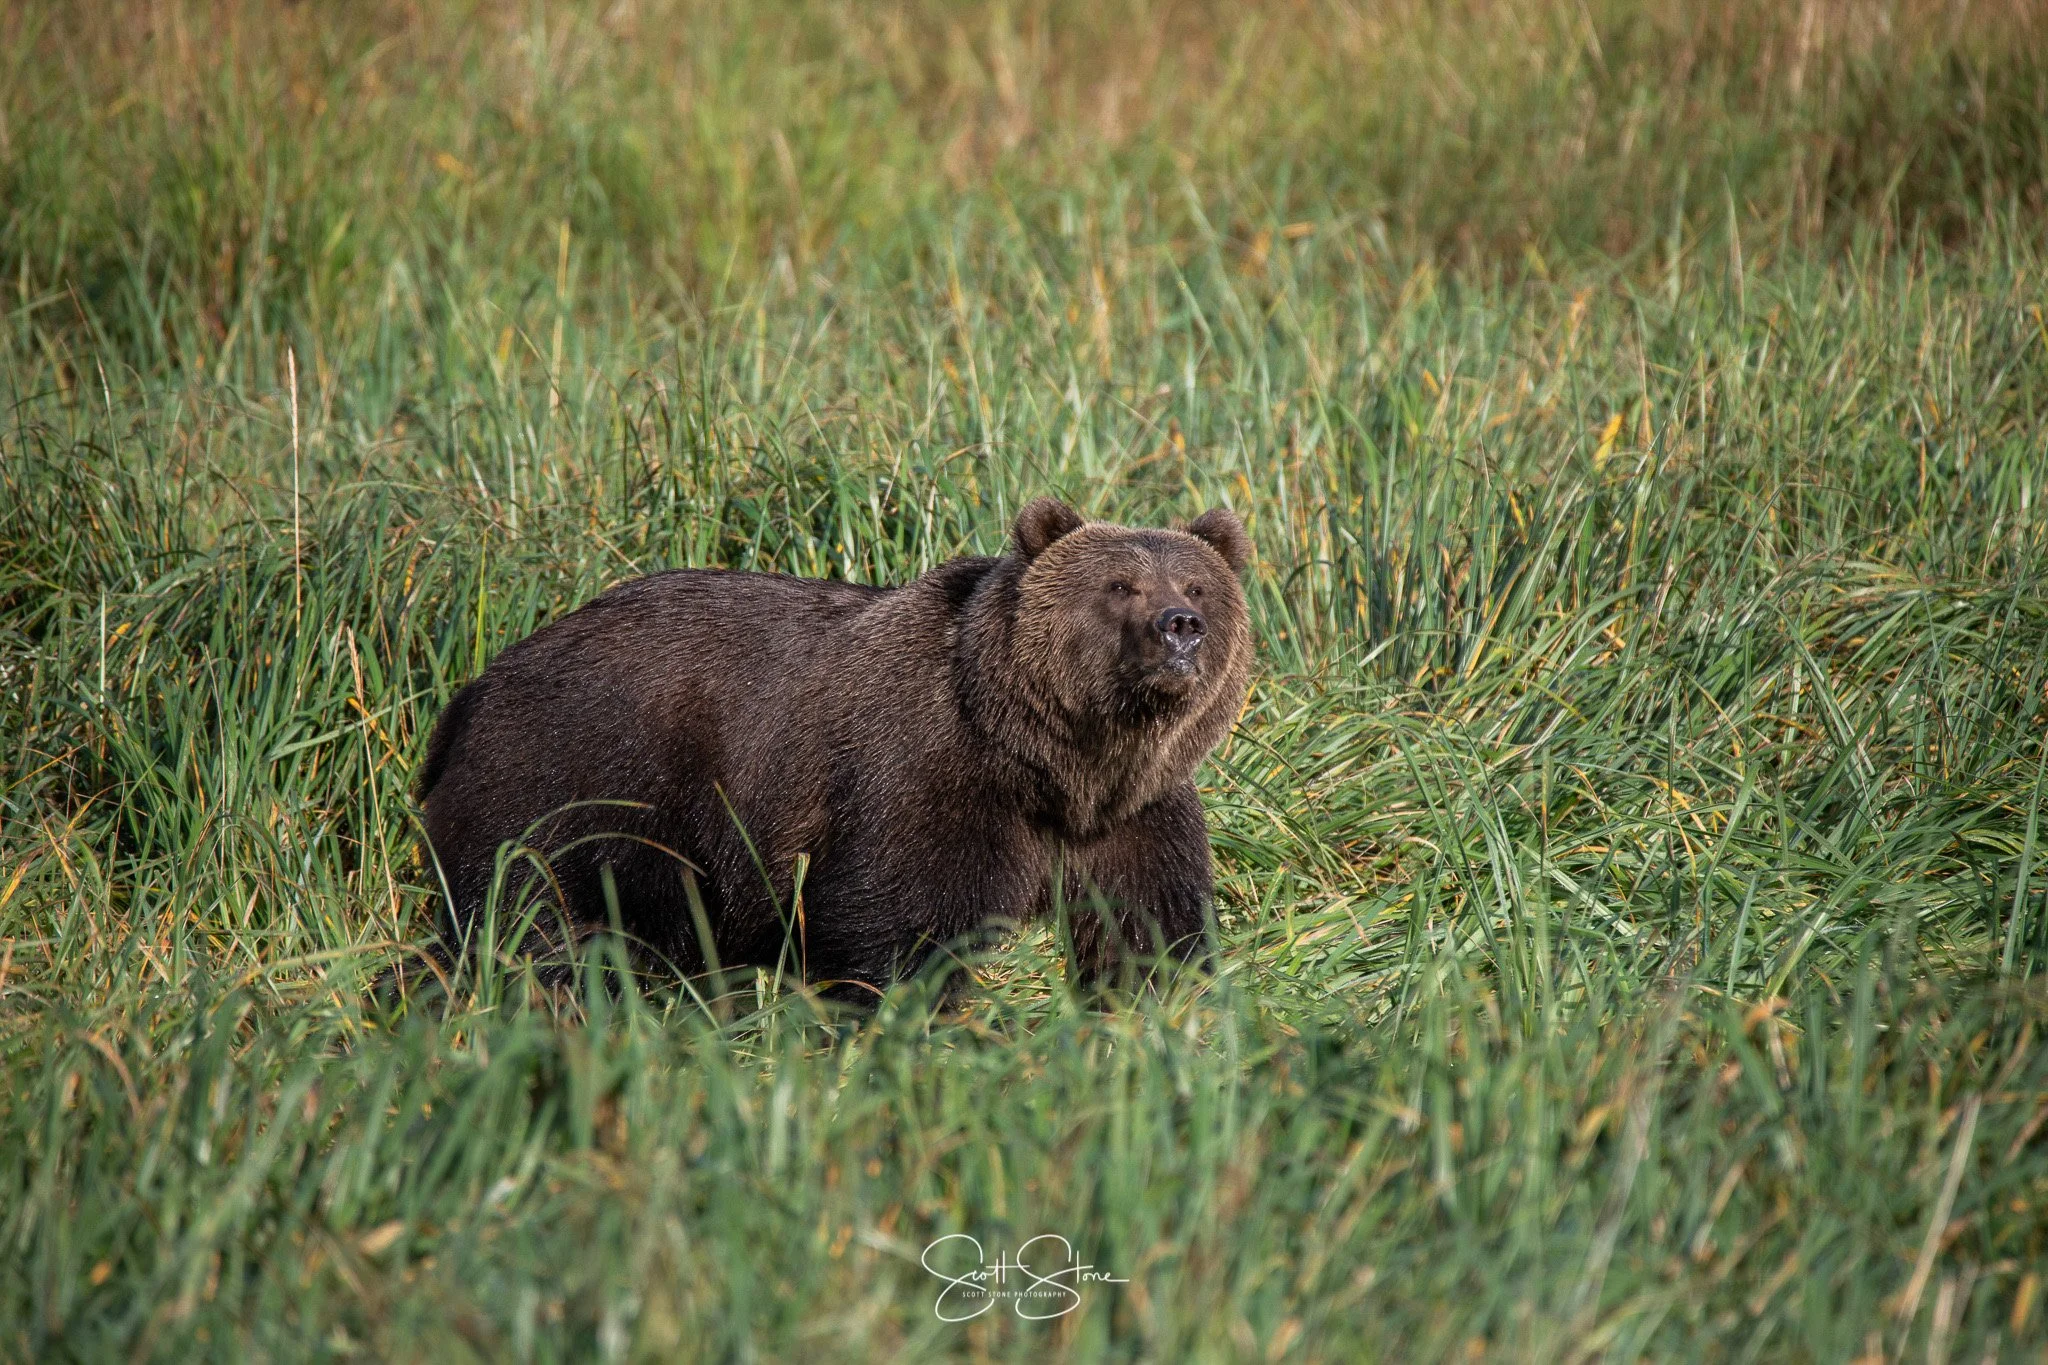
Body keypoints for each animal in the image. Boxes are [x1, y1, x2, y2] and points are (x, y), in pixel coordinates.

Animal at [415, 497, 1253, 998]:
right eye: (1120, 585)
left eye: (1197, 585)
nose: (1180, 626)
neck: (1051, 763)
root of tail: (469, 693)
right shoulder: (924, 776)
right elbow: (900, 925)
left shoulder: (1133, 814)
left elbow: (1151, 928)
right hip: (576, 781)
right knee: (529, 915)